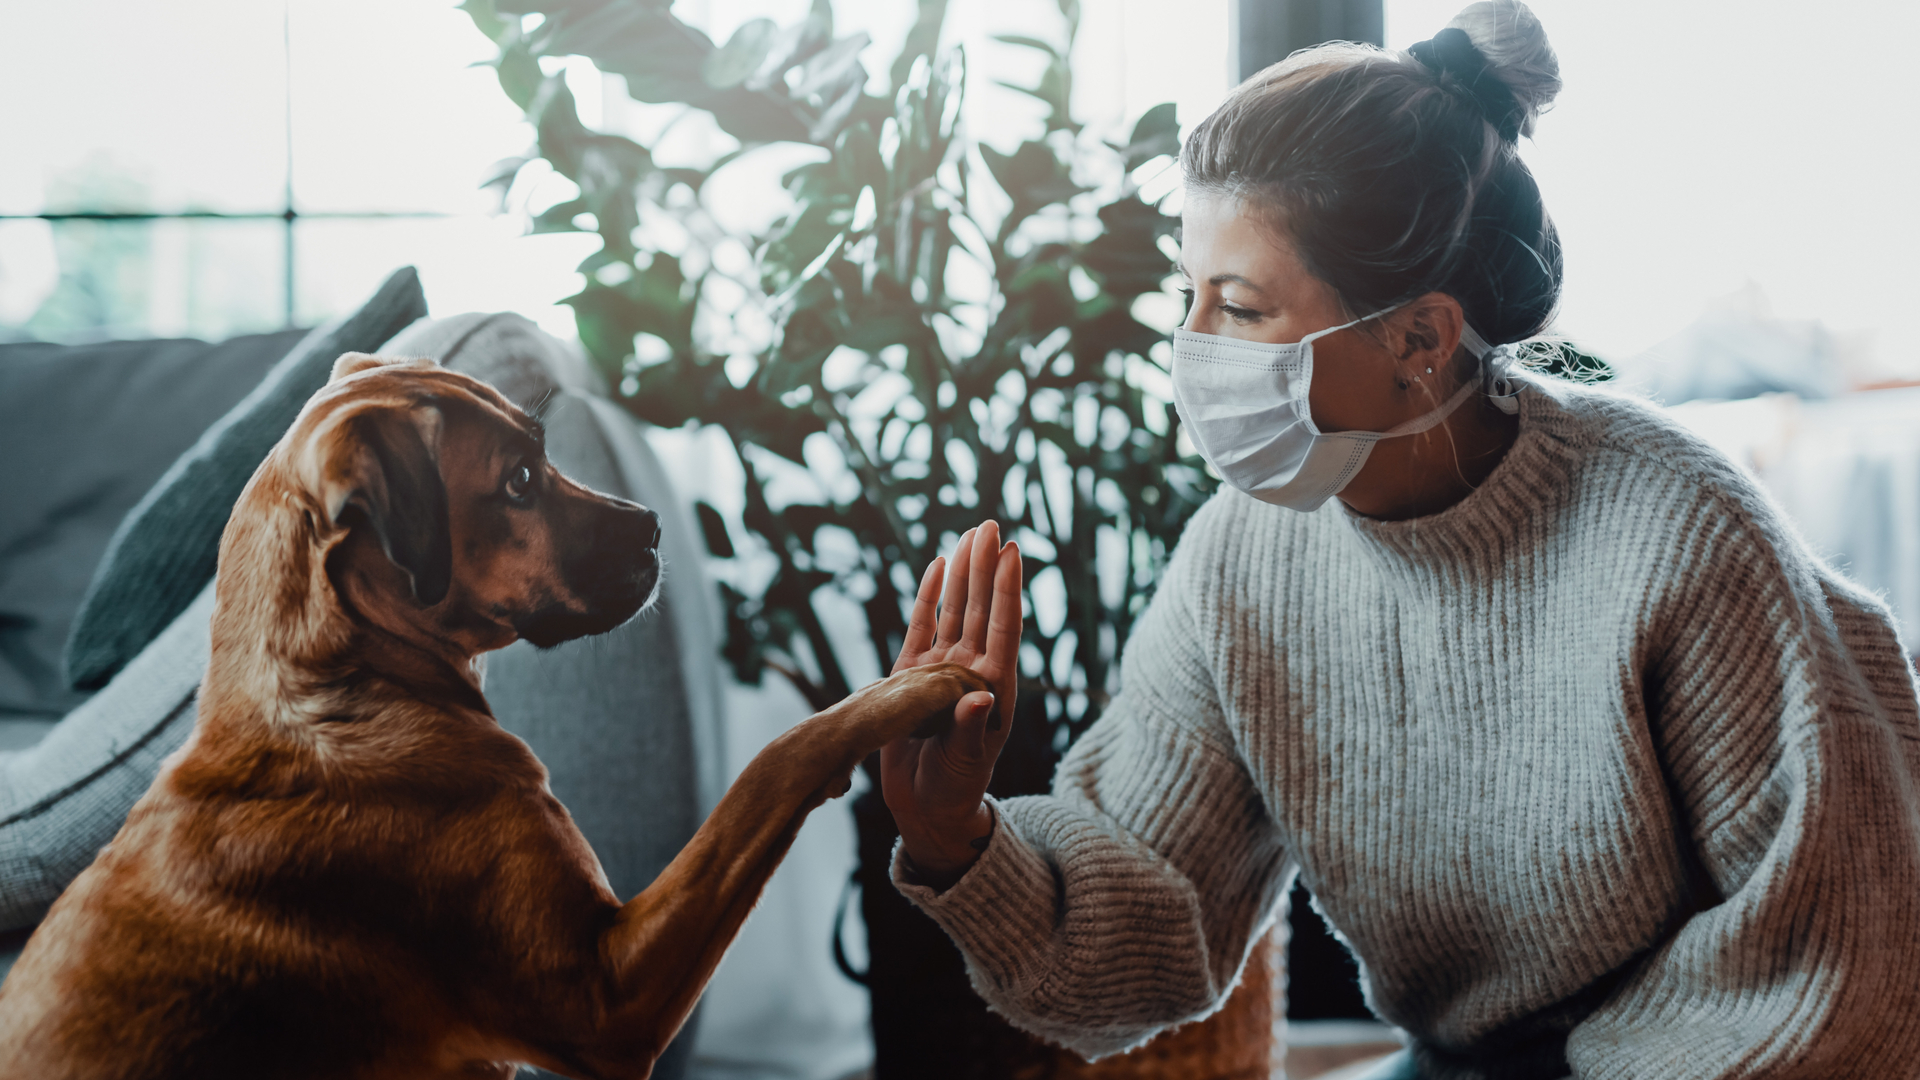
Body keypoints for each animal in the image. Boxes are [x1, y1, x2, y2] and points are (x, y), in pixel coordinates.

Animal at [0, 355, 990, 1076]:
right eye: (517, 481)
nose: (654, 527)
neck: (344, 689)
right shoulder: (606, 998)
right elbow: (773, 764)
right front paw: (901, 691)